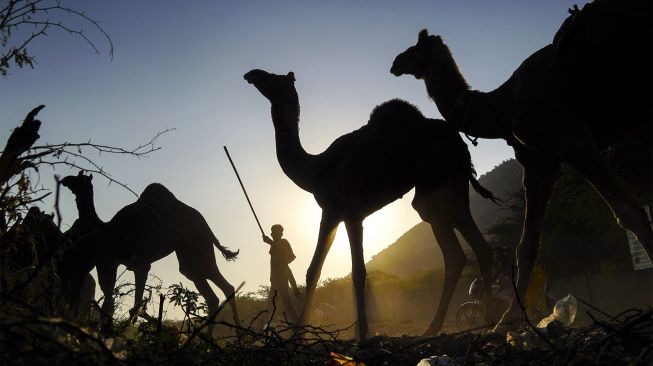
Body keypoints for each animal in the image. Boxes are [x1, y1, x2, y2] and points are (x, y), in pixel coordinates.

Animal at [59, 172, 239, 332]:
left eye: (79, 179)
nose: (64, 180)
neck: (102, 229)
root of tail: (208, 229)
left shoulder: (110, 261)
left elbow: (112, 299)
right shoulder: (135, 265)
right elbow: (132, 304)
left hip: (199, 249)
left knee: (221, 288)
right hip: (189, 256)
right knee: (215, 293)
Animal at [242, 68, 496, 338]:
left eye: (274, 78)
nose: (252, 74)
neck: (317, 169)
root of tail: (460, 143)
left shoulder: (343, 212)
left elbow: (354, 272)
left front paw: (359, 334)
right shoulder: (339, 214)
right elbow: (315, 271)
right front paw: (304, 332)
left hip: (435, 185)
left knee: (456, 250)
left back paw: (444, 326)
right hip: (454, 185)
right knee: (474, 249)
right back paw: (480, 321)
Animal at [390, 0, 648, 330]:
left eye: (414, 49)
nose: (395, 63)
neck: (504, 106)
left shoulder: (572, 138)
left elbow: (630, 214)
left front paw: (503, 320)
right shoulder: (541, 161)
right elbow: (526, 246)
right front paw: (507, 320)